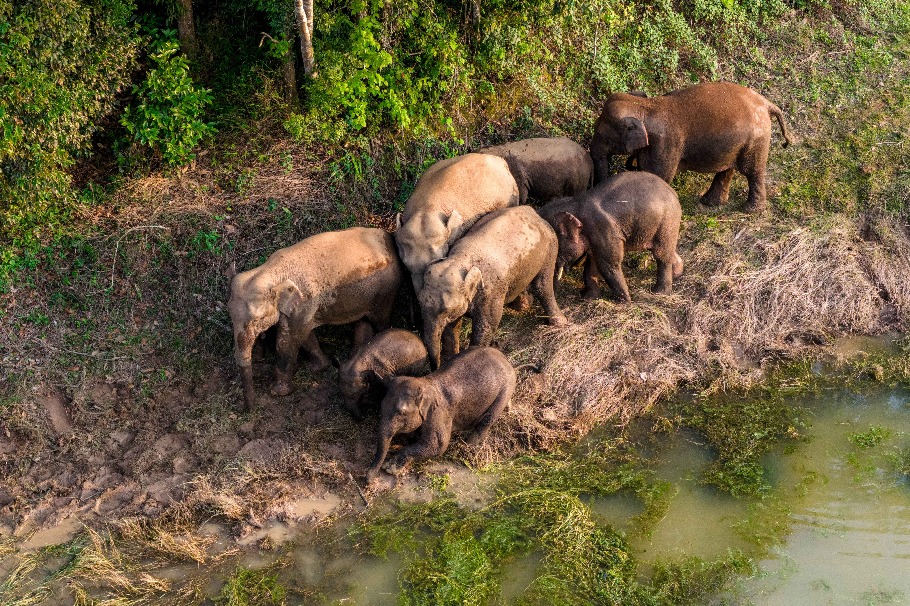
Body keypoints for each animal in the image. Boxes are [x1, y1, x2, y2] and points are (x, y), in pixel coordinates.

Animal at [227, 227, 403, 411]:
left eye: (257, 319)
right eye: (230, 314)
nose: (250, 409)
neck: (270, 271)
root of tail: (388, 237)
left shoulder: (304, 302)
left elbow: (289, 339)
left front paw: (278, 392)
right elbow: (303, 334)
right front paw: (320, 367)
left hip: (387, 289)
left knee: (380, 321)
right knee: (363, 321)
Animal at [366, 346, 520, 481]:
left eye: (401, 412)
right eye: (381, 406)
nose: (367, 479)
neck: (425, 382)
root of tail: (505, 358)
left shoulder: (438, 414)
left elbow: (438, 445)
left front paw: (390, 467)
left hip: (507, 387)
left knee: (488, 418)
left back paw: (468, 444)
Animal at [419, 205, 567, 369]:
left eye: (445, 310)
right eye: (419, 301)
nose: (435, 368)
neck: (460, 259)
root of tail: (533, 212)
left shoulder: (491, 291)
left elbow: (487, 325)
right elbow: (453, 326)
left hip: (550, 245)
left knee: (542, 285)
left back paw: (559, 323)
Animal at [538, 171, 683, 302]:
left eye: (556, 247)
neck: (574, 203)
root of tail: (673, 191)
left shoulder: (603, 229)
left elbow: (608, 264)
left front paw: (624, 301)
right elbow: (592, 263)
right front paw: (589, 298)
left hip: (667, 220)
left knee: (660, 254)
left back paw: (660, 292)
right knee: (667, 249)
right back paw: (677, 274)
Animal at [589, 81, 794, 212]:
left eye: (605, 138)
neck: (646, 106)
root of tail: (767, 103)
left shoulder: (666, 144)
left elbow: (658, 175)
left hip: (756, 140)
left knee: (752, 171)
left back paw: (751, 210)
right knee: (728, 168)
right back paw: (710, 203)